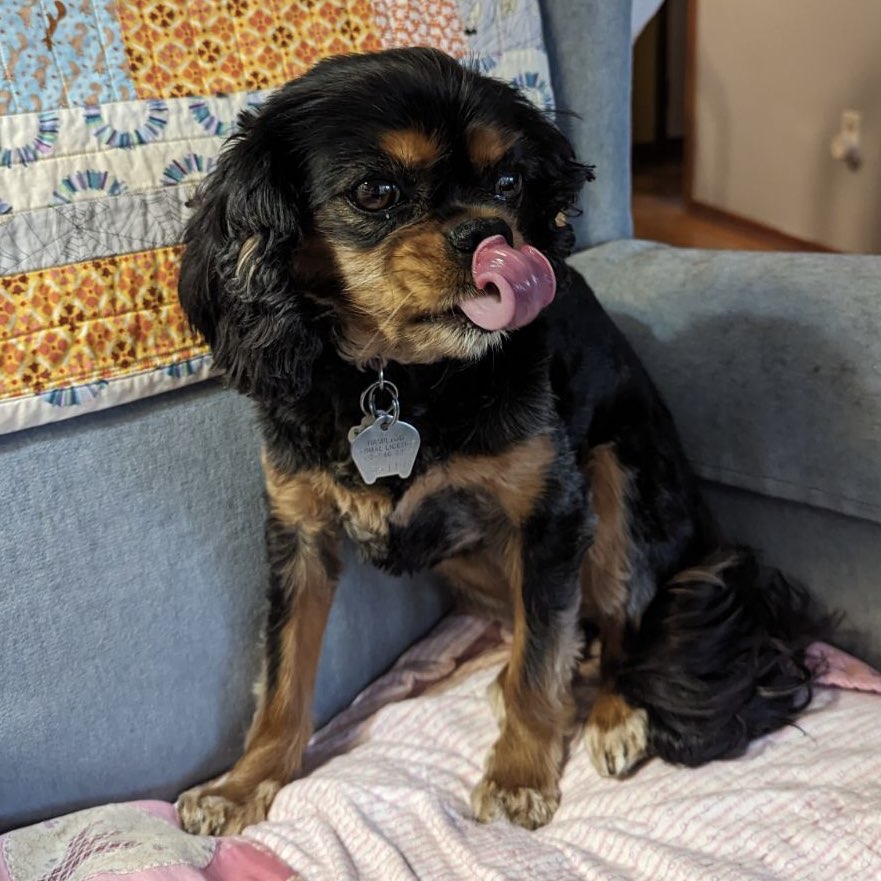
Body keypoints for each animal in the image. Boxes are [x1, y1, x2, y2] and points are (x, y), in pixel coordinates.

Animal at [174, 46, 824, 832]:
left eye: (508, 182)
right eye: (374, 191)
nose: (490, 235)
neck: (398, 379)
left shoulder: (553, 516)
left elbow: (541, 663)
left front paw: (519, 771)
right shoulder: (298, 533)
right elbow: (284, 675)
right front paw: (243, 783)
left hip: (618, 493)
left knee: (619, 631)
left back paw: (614, 714)